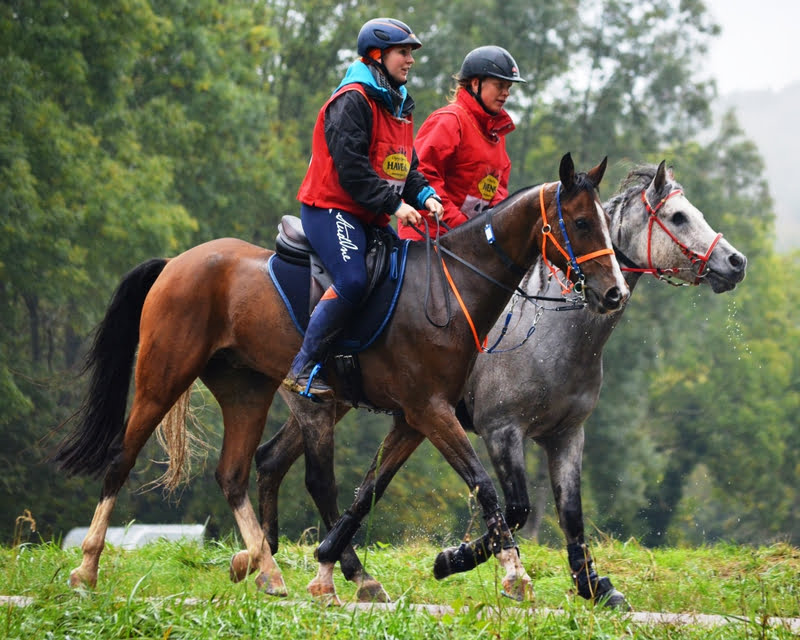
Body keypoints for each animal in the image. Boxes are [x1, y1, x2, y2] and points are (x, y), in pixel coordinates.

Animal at [53, 152, 628, 604]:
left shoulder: (417, 420)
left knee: (238, 472)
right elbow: (491, 491)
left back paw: (265, 566)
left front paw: (336, 564)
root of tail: (178, 262)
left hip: (248, 392)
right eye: (581, 223)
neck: (450, 286)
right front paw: (509, 573)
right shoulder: (446, 416)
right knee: (123, 460)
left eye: (605, 222)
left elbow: (369, 491)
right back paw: (86, 568)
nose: (614, 294)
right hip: (165, 377)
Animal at [258, 160, 752, 604]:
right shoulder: (501, 432)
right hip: (318, 404)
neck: (553, 330)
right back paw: (343, 572)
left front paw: (594, 586)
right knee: (318, 480)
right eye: (679, 216)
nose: (736, 262)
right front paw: (456, 560)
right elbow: (514, 509)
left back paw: (276, 560)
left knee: (271, 459)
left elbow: (570, 513)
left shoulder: (565, 435)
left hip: (337, 401)